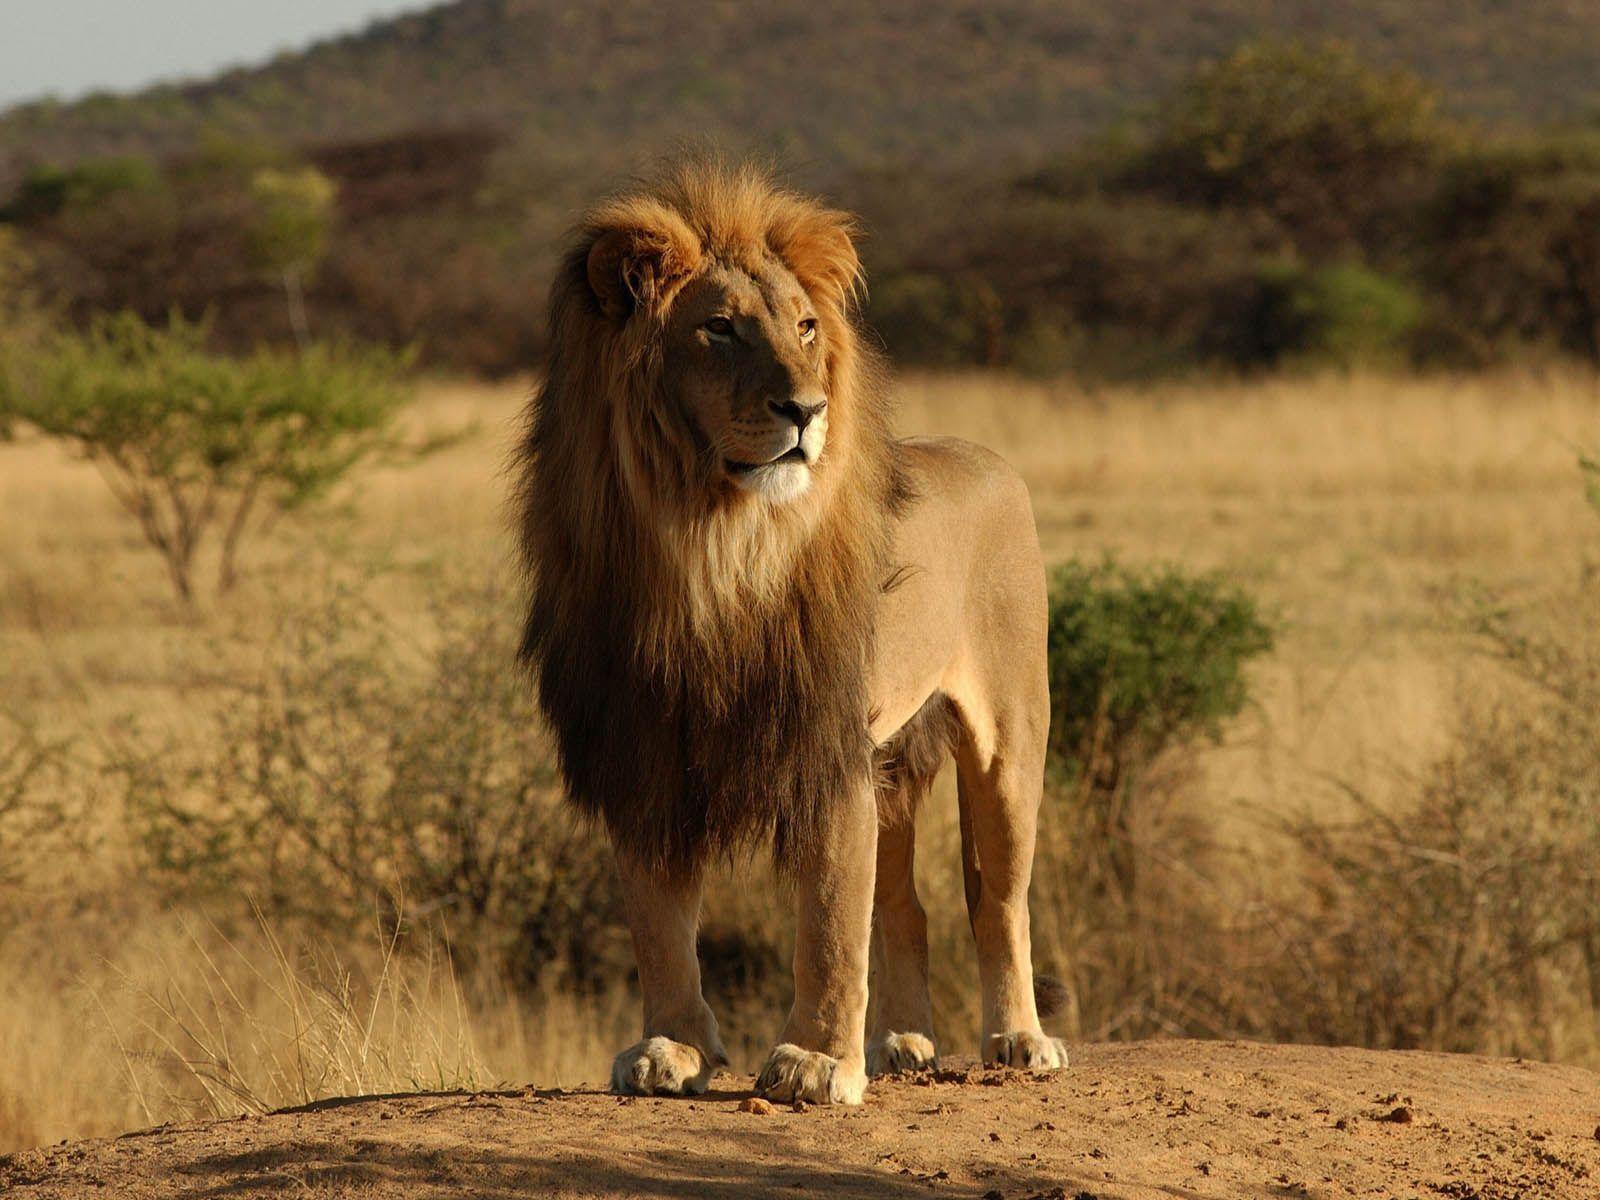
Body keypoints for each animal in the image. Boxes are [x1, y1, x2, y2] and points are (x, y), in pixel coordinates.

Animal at [514, 158, 1066, 1106]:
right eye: (720, 329)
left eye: (806, 327)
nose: (805, 409)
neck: (709, 547)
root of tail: (988, 458)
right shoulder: (642, 746)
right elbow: (659, 920)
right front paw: (672, 1048)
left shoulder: (823, 743)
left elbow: (831, 919)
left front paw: (815, 1062)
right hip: (894, 761)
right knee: (907, 904)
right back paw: (903, 1042)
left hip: (1008, 739)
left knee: (998, 899)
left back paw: (1018, 1039)